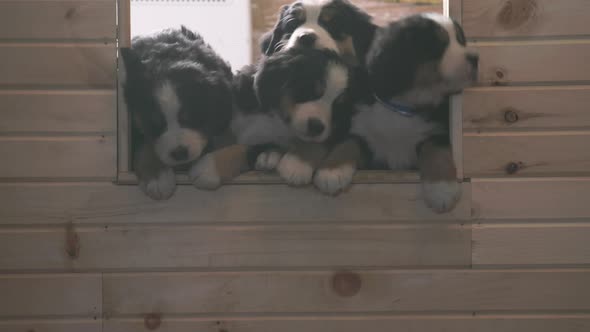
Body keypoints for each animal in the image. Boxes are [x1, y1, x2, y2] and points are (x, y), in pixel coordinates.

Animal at [328, 13, 480, 213]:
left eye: (461, 41)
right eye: (438, 46)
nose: (476, 58)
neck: (402, 106)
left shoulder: (437, 130)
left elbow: (437, 152)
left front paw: (442, 189)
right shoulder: (360, 126)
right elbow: (347, 143)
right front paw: (332, 172)